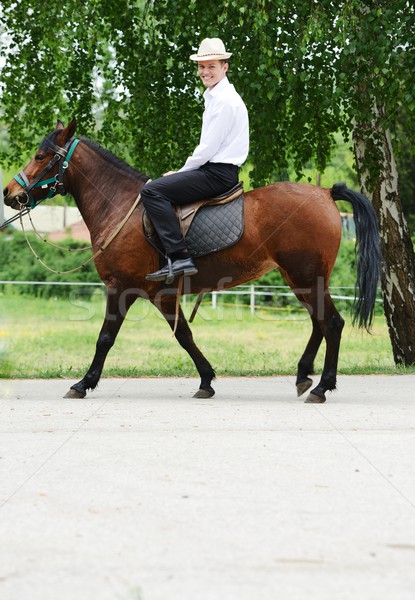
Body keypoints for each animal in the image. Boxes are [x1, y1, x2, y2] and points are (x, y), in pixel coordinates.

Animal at [1, 120, 382, 404]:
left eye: (40, 156)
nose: (9, 193)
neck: (121, 206)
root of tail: (325, 193)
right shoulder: (163, 295)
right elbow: (184, 335)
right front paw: (206, 380)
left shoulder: (121, 288)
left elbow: (105, 337)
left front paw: (83, 383)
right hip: (301, 279)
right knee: (319, 323)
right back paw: (304, 375)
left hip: (304, 277)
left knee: (331, 323)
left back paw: (322, 386)